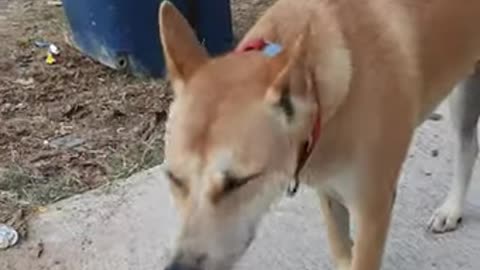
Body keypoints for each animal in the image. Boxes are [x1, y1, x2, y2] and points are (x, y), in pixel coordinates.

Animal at [159, 0, 480, 270]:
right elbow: (340, 249)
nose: (180, 267)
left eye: (240, 182)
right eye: (173, 178)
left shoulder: (372, 211)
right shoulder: (328, 190)